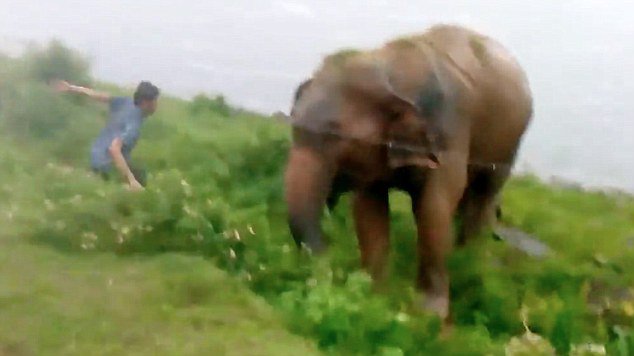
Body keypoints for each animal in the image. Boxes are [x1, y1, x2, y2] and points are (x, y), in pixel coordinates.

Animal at [284, 25, 532, 320]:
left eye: (336, 134)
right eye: (292, 120)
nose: (329, 259)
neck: (390, 67)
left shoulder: (450, 133)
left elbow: (433, 209)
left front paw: (429, 314)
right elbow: (368, 209)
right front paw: (374, 296)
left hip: (509, 144)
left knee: (483, 197)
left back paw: (471, 266)